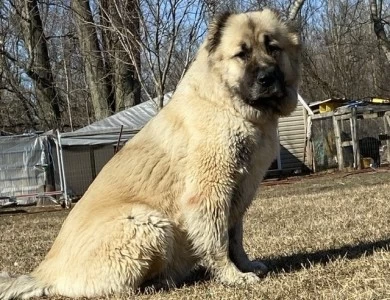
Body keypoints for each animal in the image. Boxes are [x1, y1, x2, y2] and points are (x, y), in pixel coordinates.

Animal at [0, 8, 302, 298]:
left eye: (273, 48)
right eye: (242, 54)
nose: (267, 78)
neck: (227, 104)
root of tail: (45, 272)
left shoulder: (240, 194)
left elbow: (235, 239)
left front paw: (246, 265)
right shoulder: (210, 193)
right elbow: (218, 241)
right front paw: (233, 276)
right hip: (149, 222)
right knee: (125, 286)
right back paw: (161, 281)